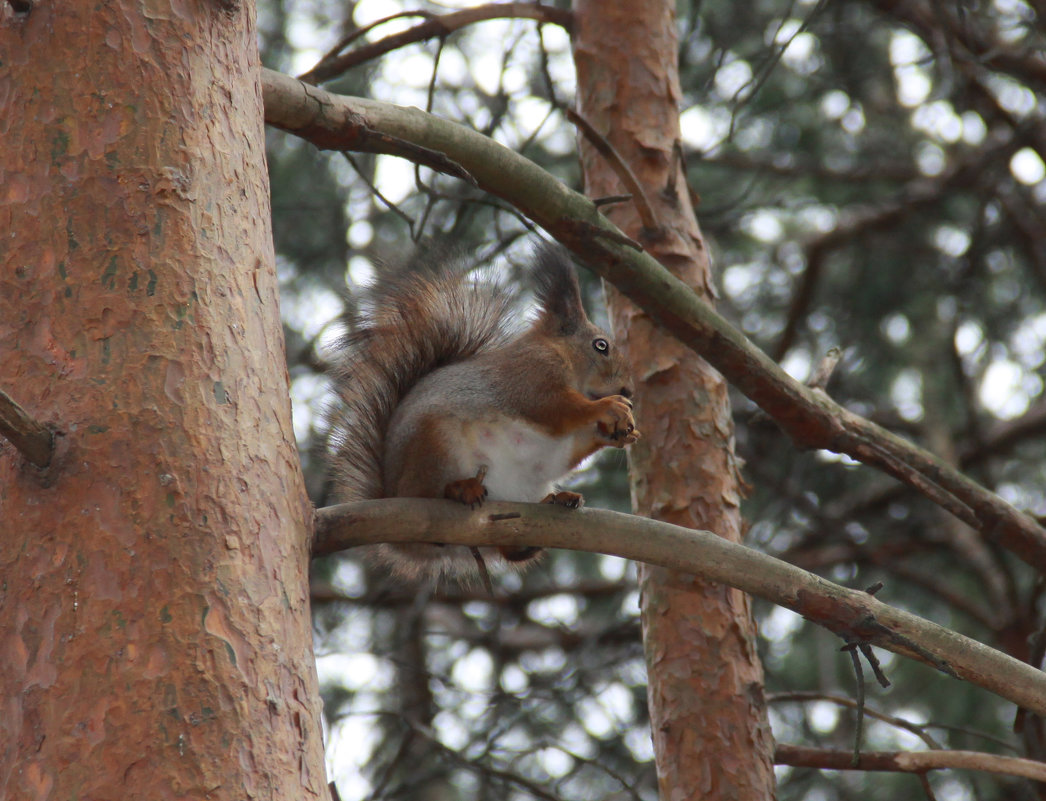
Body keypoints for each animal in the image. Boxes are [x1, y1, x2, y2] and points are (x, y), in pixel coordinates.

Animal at [326, 242, 635, 585]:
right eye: (601, 346)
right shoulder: (529, 379)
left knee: (509, 550)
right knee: (423, 491)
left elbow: (568, 446)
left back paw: (553, 505)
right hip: (434, 443)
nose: (628, 390)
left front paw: (614, 433)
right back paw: (459, 489)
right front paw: (608, 408)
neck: (562, 356)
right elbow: (556, 409)